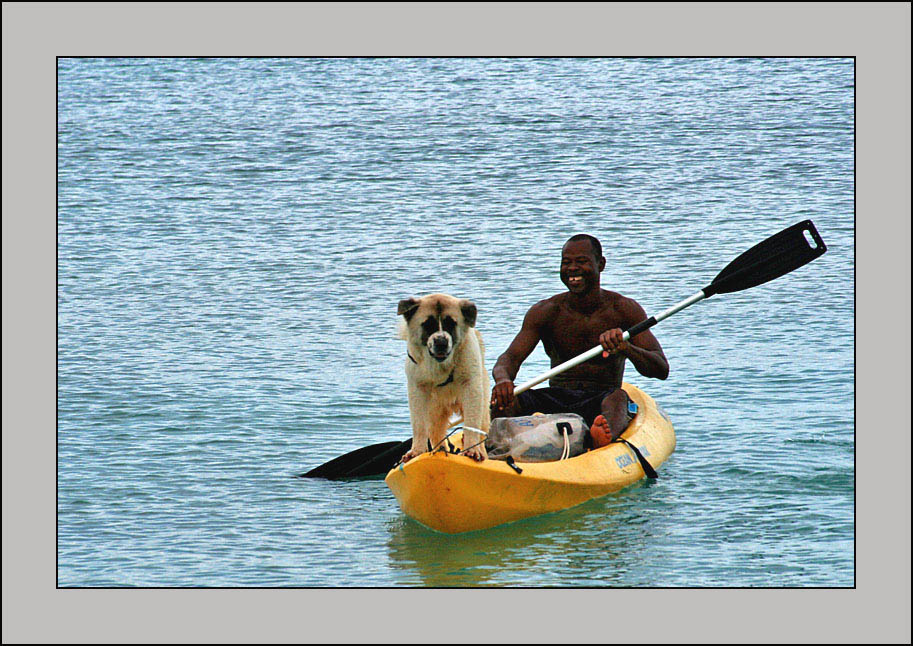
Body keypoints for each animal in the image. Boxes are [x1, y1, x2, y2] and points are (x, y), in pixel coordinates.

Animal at [396, 294, 488, 466]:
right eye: (428, 324)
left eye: (451, 324)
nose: (441, 341)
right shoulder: (417, 389)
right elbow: (419, 424)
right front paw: (417, 451)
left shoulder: (472, 387)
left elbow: (472, 422)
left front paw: (473, 450)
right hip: (435, 410)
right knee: (435, 430)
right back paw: (440, 450)